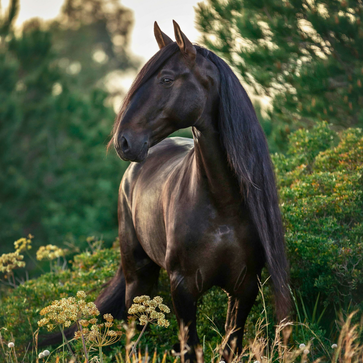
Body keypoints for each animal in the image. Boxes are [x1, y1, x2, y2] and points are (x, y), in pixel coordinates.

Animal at [95, 22, 292, 362]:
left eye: (166, 79)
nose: (124, 141)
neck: (222, 202)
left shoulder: (245, 287)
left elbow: (230, 346)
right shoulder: (183, 288)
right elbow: (190, 348)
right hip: (138, 277)